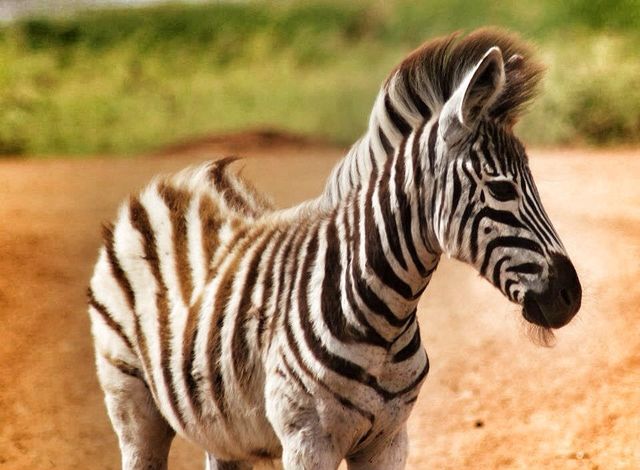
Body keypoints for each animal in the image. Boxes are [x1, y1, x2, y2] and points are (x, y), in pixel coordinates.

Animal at [88, 28, 581, 470]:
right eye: (501, 189)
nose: (570, 297)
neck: (385, 320)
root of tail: (169, 184)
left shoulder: (389, 442)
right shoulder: (308, 442)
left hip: (220, 429)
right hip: (131, 400)